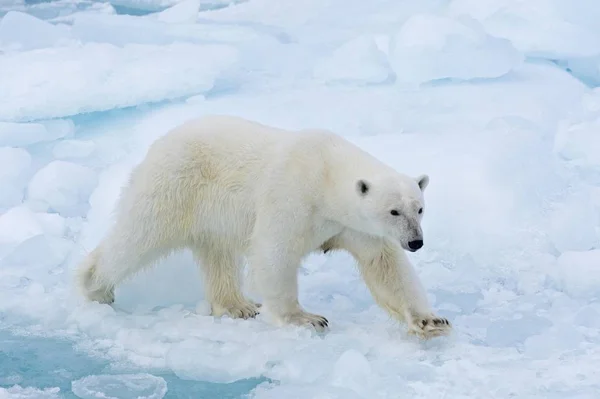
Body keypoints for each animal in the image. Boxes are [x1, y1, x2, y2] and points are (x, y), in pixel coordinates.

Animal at [76, 115, 450, 340]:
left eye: (419, 208)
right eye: (393, 211)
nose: (416, 242)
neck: (326, 172)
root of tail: (161, 141)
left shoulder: (352, 224)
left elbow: (384, 265)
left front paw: (431, 321)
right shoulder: (292, 196)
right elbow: (275, 253)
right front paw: (307, 318)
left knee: (217, 252)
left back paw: (238, 305)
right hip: (174, 186)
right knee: (138, 236)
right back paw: (95, 286)